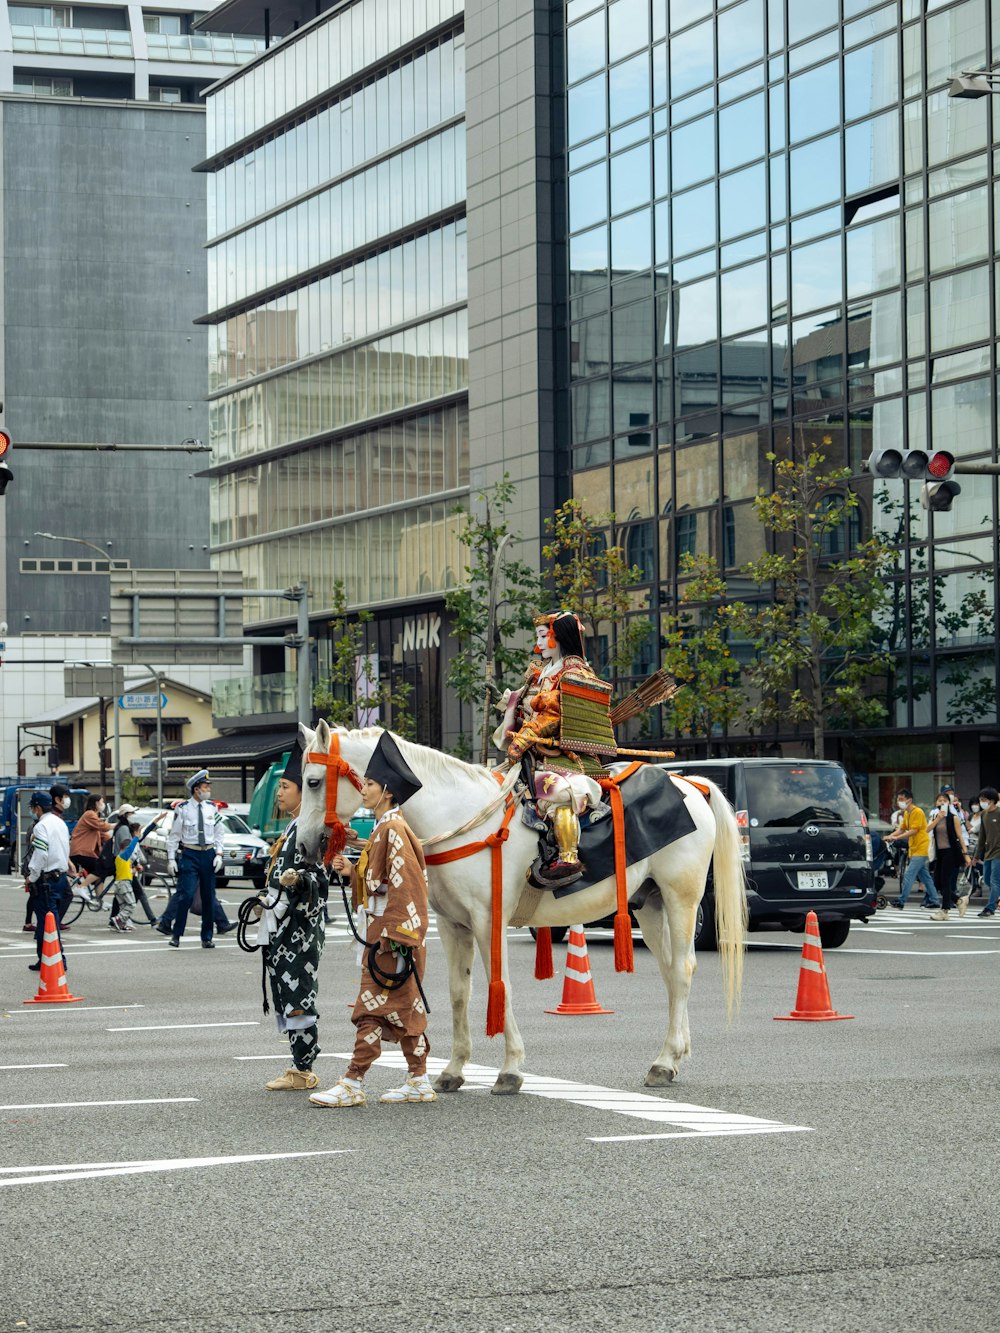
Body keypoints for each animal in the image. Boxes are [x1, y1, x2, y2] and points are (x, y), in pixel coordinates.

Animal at [293, 725, 746, 1098]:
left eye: (314, 781)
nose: (304, 844)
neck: (460, 818)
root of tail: (691, 783)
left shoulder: (486, 921)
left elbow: (502, 987)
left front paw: (509, 1070)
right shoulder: (452, 925)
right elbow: (459, 994)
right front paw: (453, 1070)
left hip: (681, 896)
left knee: (683, 970)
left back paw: (665, 1061)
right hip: (649, 905)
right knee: (672, 974)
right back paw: (674, 1056)